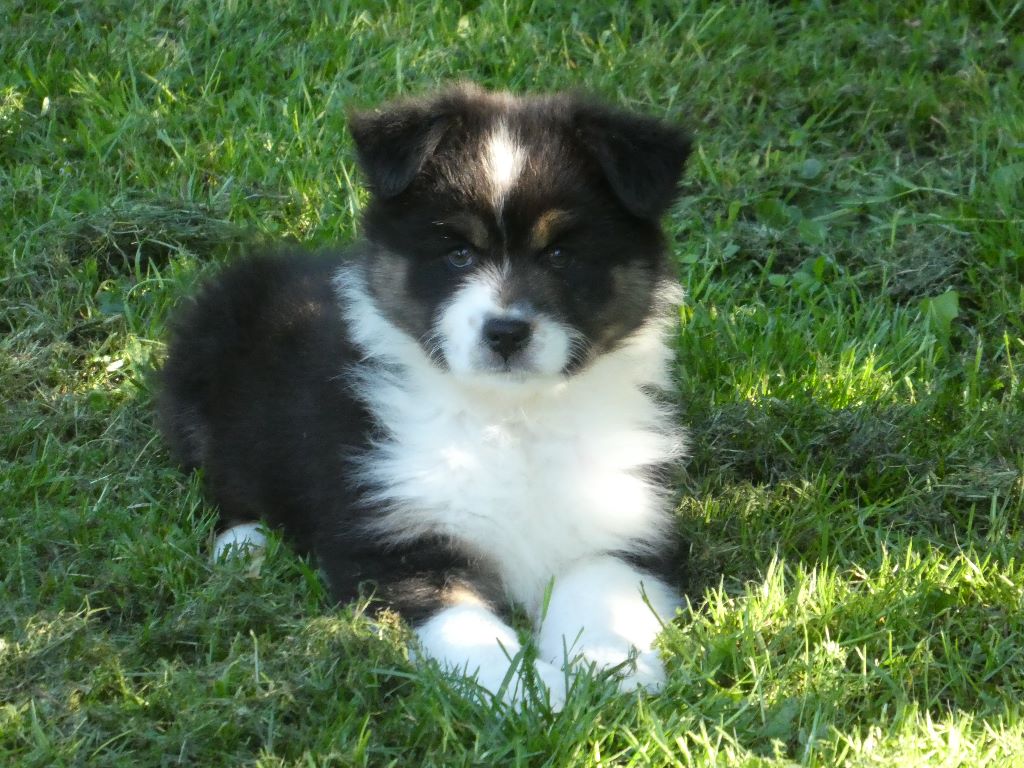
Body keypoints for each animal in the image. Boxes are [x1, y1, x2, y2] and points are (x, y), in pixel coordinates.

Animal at [159, 84, 692, 709]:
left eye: (561, 255)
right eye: (458, 253)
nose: (506, 333)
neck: (510, 417)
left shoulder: (617, 527)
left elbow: (601, 596)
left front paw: (611, 670)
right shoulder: (397, 540)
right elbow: (470, 630)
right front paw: (529, 695)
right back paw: (244, 547)